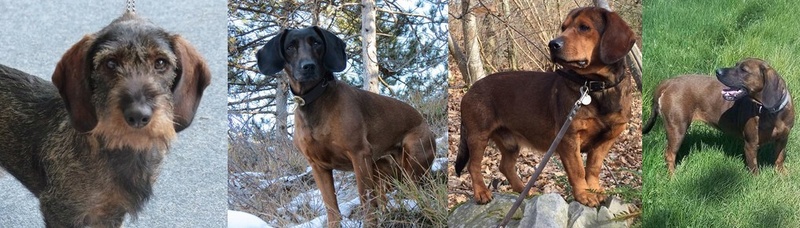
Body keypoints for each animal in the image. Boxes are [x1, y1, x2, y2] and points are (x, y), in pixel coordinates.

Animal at [256, 26, 434, 226]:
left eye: (316, 42)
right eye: (290, 47)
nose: (308, 66)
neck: (315, 101)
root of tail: (424, 121)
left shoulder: (359, 155)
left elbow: (367, 203)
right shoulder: (318, 166)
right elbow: (332, 209)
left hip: (413, 162)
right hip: (381, 170)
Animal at [456, 7, 636, 207]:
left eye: (584, 27)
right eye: (564, 27)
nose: (553, 44)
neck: (597, 86)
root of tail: (470, 90)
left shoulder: (608, 138)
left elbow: (593, 168)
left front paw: (595, 190)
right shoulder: (569, 138)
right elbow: (578, 170)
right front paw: (584, 194)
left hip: (509, 142)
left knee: (505, 166)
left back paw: (524, 191)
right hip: (478, 136)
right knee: (473, 166)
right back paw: (481, 192)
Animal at [644, 58, 792, 175]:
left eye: (743, 70)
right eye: (736, 64)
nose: (718, 71)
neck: (771, 113)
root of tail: (668, 82)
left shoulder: (783, 139)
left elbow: (780, 158)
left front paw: (782, 174)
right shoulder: (751, 145)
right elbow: (754, 168)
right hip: (677, 128)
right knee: (669, 155)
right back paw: (672, 177)